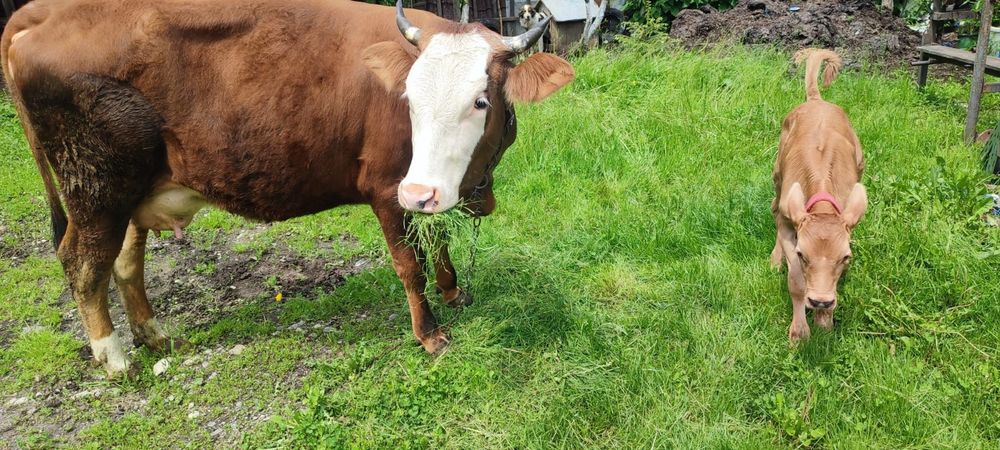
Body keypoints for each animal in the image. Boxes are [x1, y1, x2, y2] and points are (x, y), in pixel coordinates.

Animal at [1, 0, 574, 377]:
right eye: (408, 98)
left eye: (481, 100)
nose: (421, 193)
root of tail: (41, 13)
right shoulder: (390, 187)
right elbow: (409, 262)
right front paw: (430, 334)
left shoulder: (423, 183)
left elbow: (438, 238)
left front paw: (453, 291)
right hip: (96, 189)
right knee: (82, 263)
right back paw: (115, 356)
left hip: (128, 193)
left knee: (123, 262)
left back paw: (154, 334)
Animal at [770, 49, 867, 342]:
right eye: (802, 254)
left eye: (845, 257)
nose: (821, 301)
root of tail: (817, 100)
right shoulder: (790, 223)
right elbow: (796, 281)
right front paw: (800, 331)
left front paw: (824, 321)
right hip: (778, 174)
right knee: (774, 206)